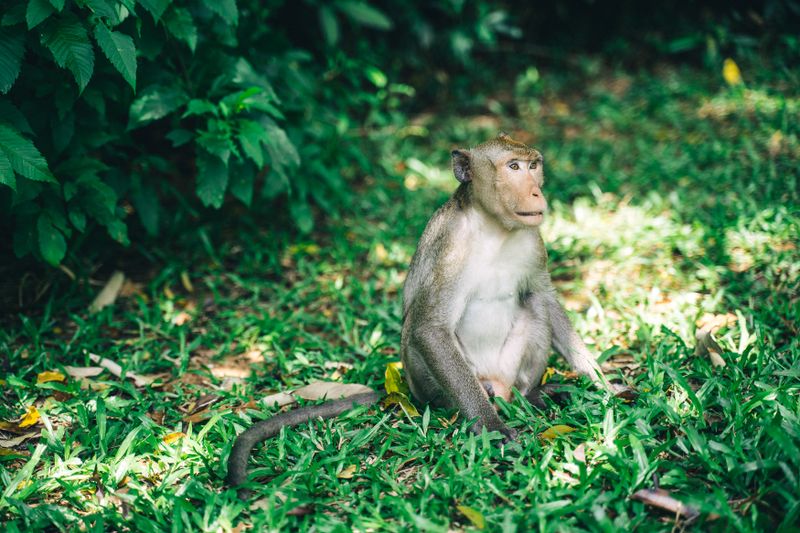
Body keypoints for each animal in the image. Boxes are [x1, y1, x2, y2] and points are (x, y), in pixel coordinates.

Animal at [225, 132, 612, 497]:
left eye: (534, 166)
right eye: (513, 167)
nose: (535, 192)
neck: (493, 228)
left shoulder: (533, 241)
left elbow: (545, 297)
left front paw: (603, 386)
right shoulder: (450, 249)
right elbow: (429, 328)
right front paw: (492, 429)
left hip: (508, 370)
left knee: (533, 304)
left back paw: (531, 396)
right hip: (430, 383)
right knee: (417, 335)